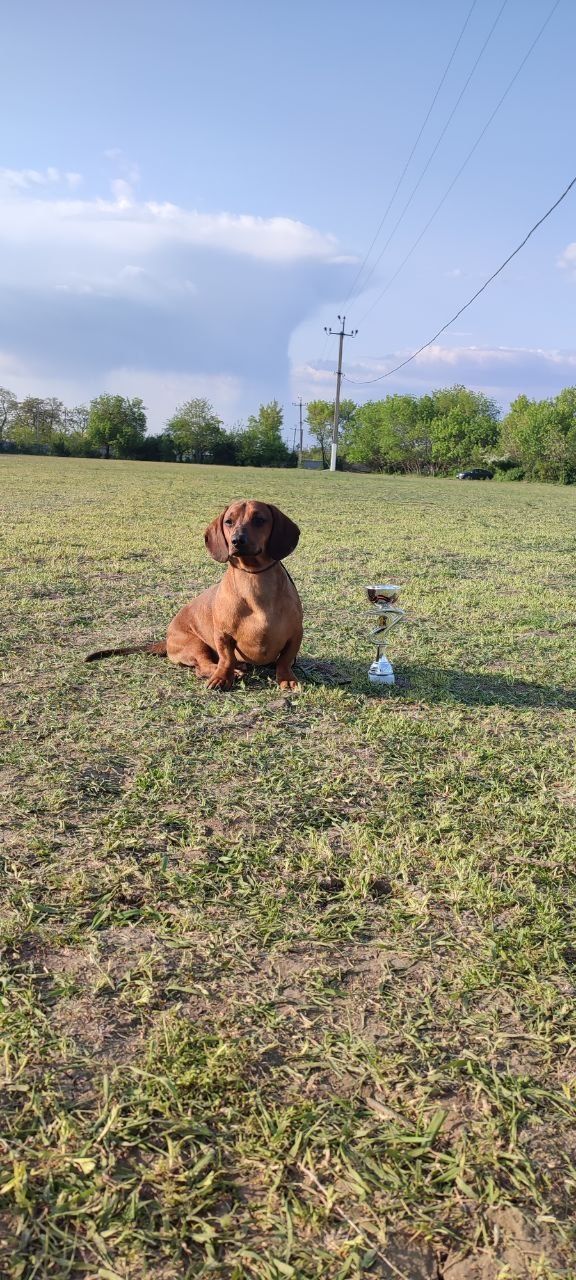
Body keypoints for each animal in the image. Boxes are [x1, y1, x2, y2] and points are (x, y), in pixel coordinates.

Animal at [86, 499, 302, 691]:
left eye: (259, 519)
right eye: (229, 521)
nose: (237, 540)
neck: (254, 580)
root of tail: (166, 640)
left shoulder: (295, 634)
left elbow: (284, 660)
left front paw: (287, 678)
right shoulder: (222, 635)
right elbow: (226, 659)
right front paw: (223, 677)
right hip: (196, 644)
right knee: (203, 666)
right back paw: (232, 671)